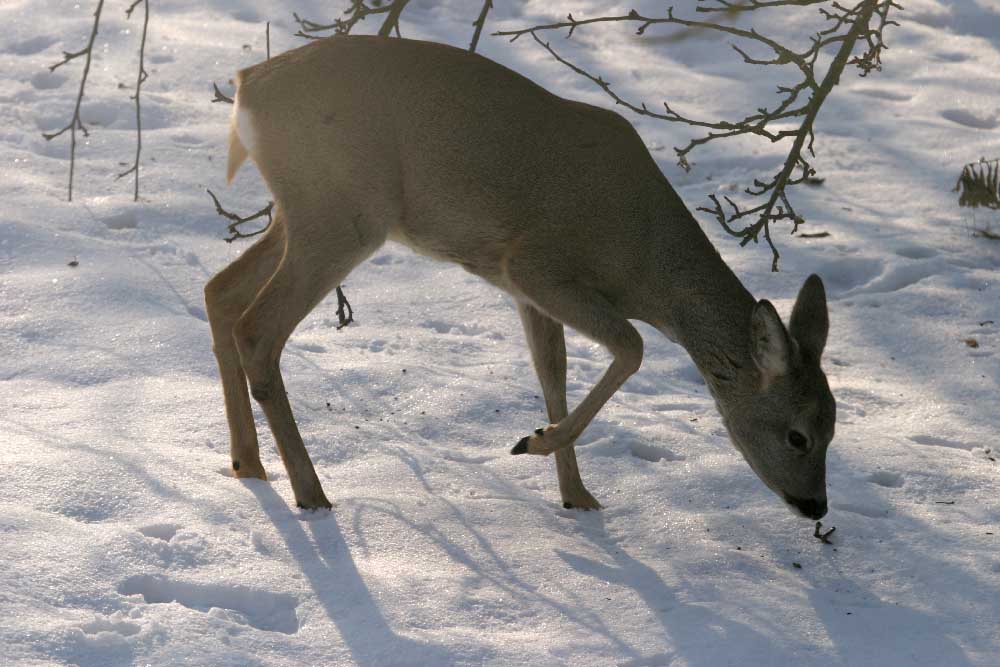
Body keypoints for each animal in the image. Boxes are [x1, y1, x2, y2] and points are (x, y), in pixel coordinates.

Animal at [209, 36, 836, 516]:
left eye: (833, 430)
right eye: (798, 435)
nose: (815, 507)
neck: (643, 264)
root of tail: (245, 86)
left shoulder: (524, 290)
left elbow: (551, 370)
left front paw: (577, 495)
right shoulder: (536, 264)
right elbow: (631, 347)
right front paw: (534, 443)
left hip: (304, 212)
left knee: (220, 291)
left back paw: (248, 464)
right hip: (345, 214)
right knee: (257, 329)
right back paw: (311, 492)